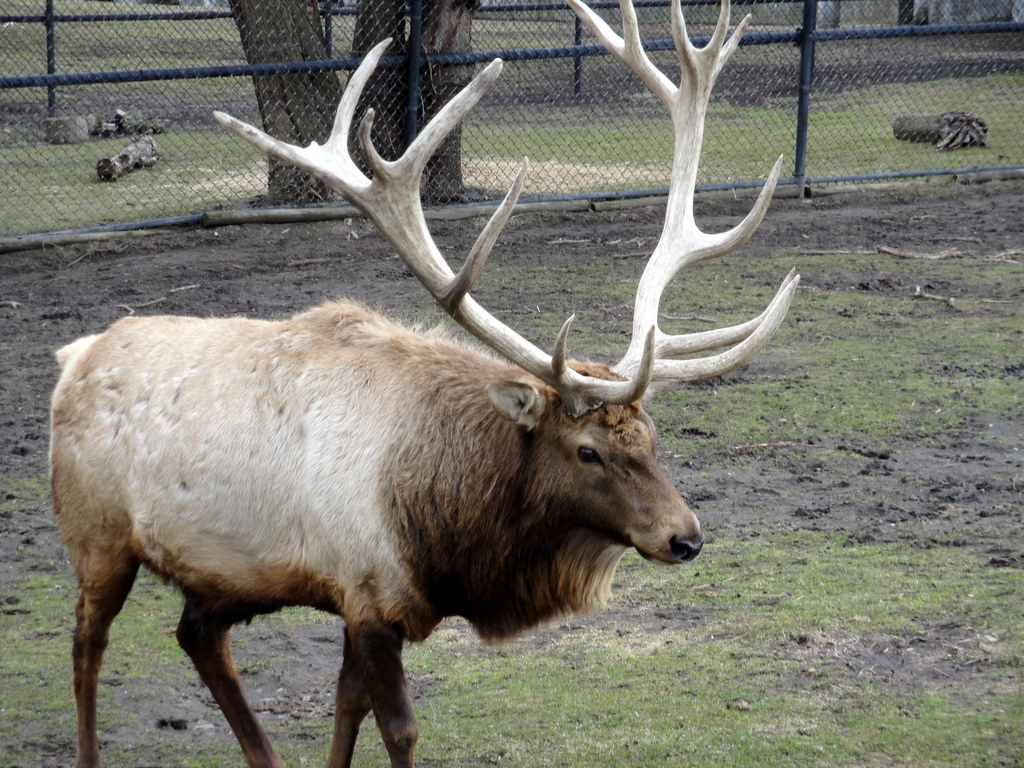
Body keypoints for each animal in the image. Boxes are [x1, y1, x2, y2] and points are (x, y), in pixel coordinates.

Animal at [49, 1, 798, 767]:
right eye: (587, 450)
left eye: (652, 437)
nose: (687, 537)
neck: (447, 530)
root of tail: (73, 357)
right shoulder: (369, 591)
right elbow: (399, 727)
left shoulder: (364, 600)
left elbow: (347, 708)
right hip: (96, 534)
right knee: (86, 642)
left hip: (218, 573)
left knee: (197, 637)